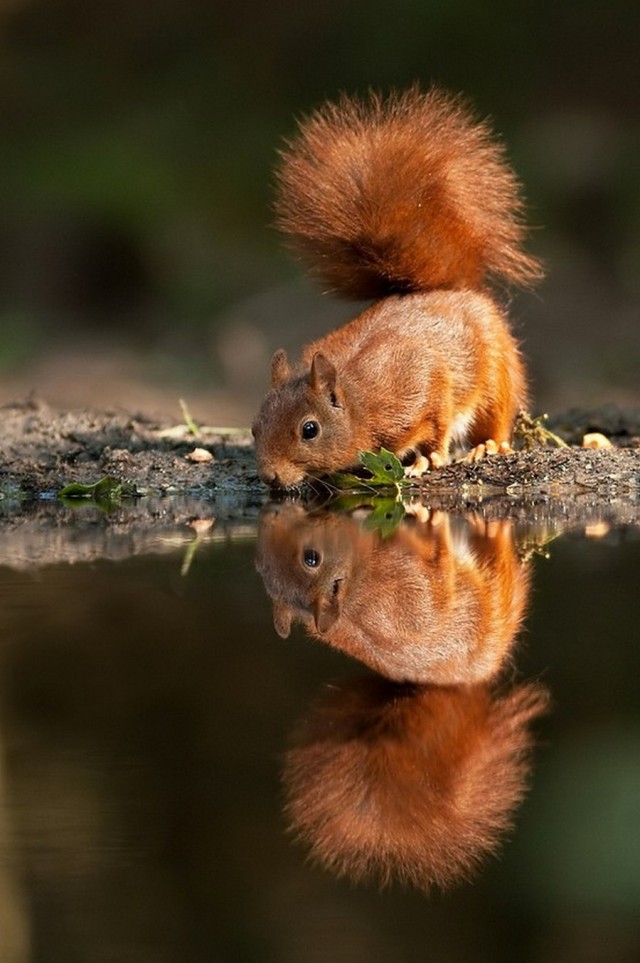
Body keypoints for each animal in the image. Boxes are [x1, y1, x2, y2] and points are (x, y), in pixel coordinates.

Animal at [252, 85, 544, 486]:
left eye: (309, 430)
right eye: (254, 428)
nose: (270, 477)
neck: (359, 402)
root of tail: (454, 290)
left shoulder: (424, 383)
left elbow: (437, 425)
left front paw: (428, 458)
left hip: (498, 375)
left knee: (496, 417)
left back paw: (488, 445)